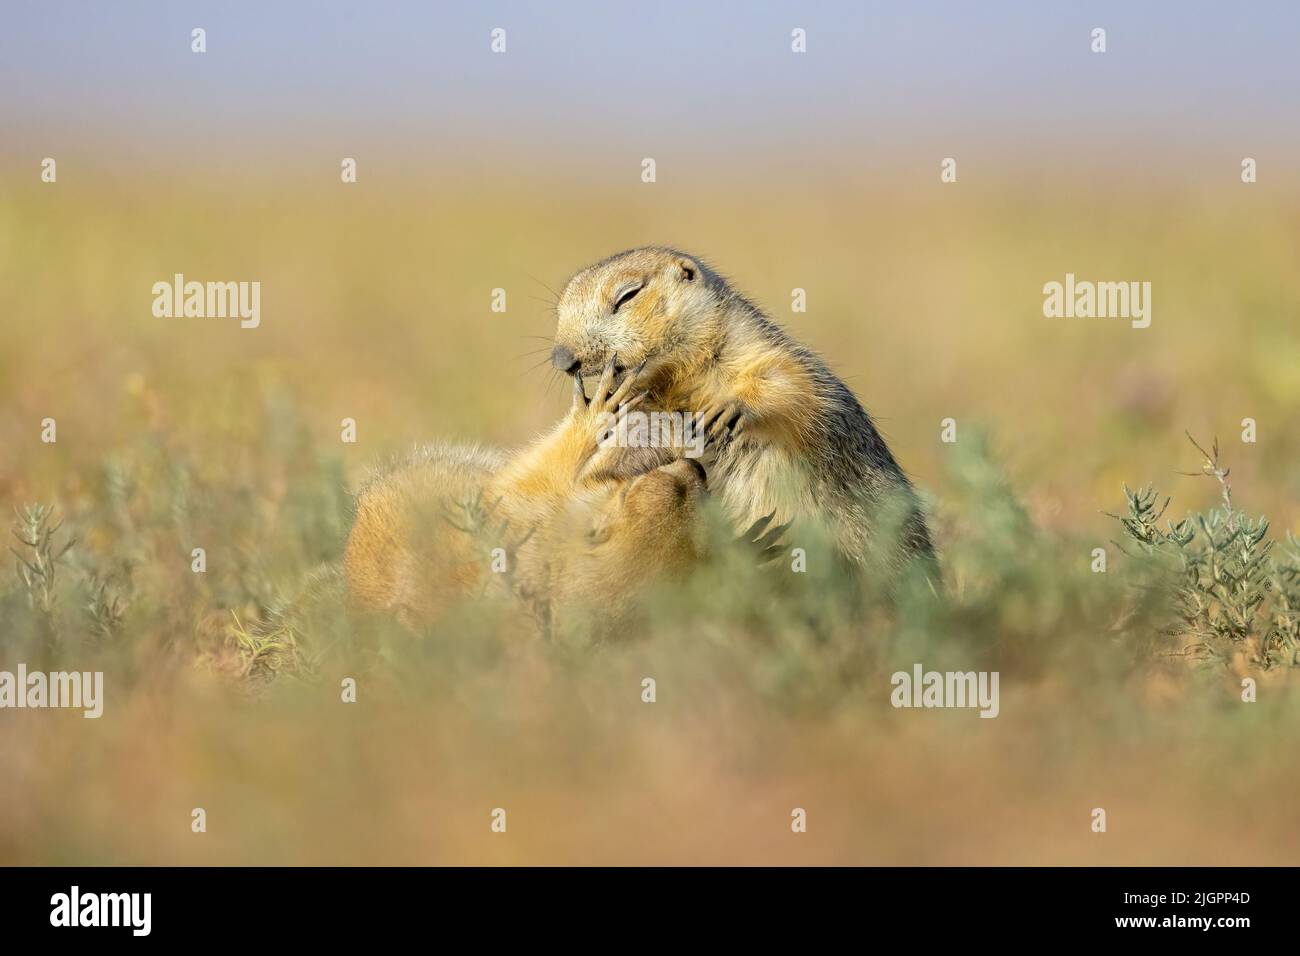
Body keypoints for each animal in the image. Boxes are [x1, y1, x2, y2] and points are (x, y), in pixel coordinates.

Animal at [548, 247, 935, 580]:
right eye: (560, 309)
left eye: (628, 295)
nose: (562, 359)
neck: (676, 383)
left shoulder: (761, 350)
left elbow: (787, 382)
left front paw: (730, 407)